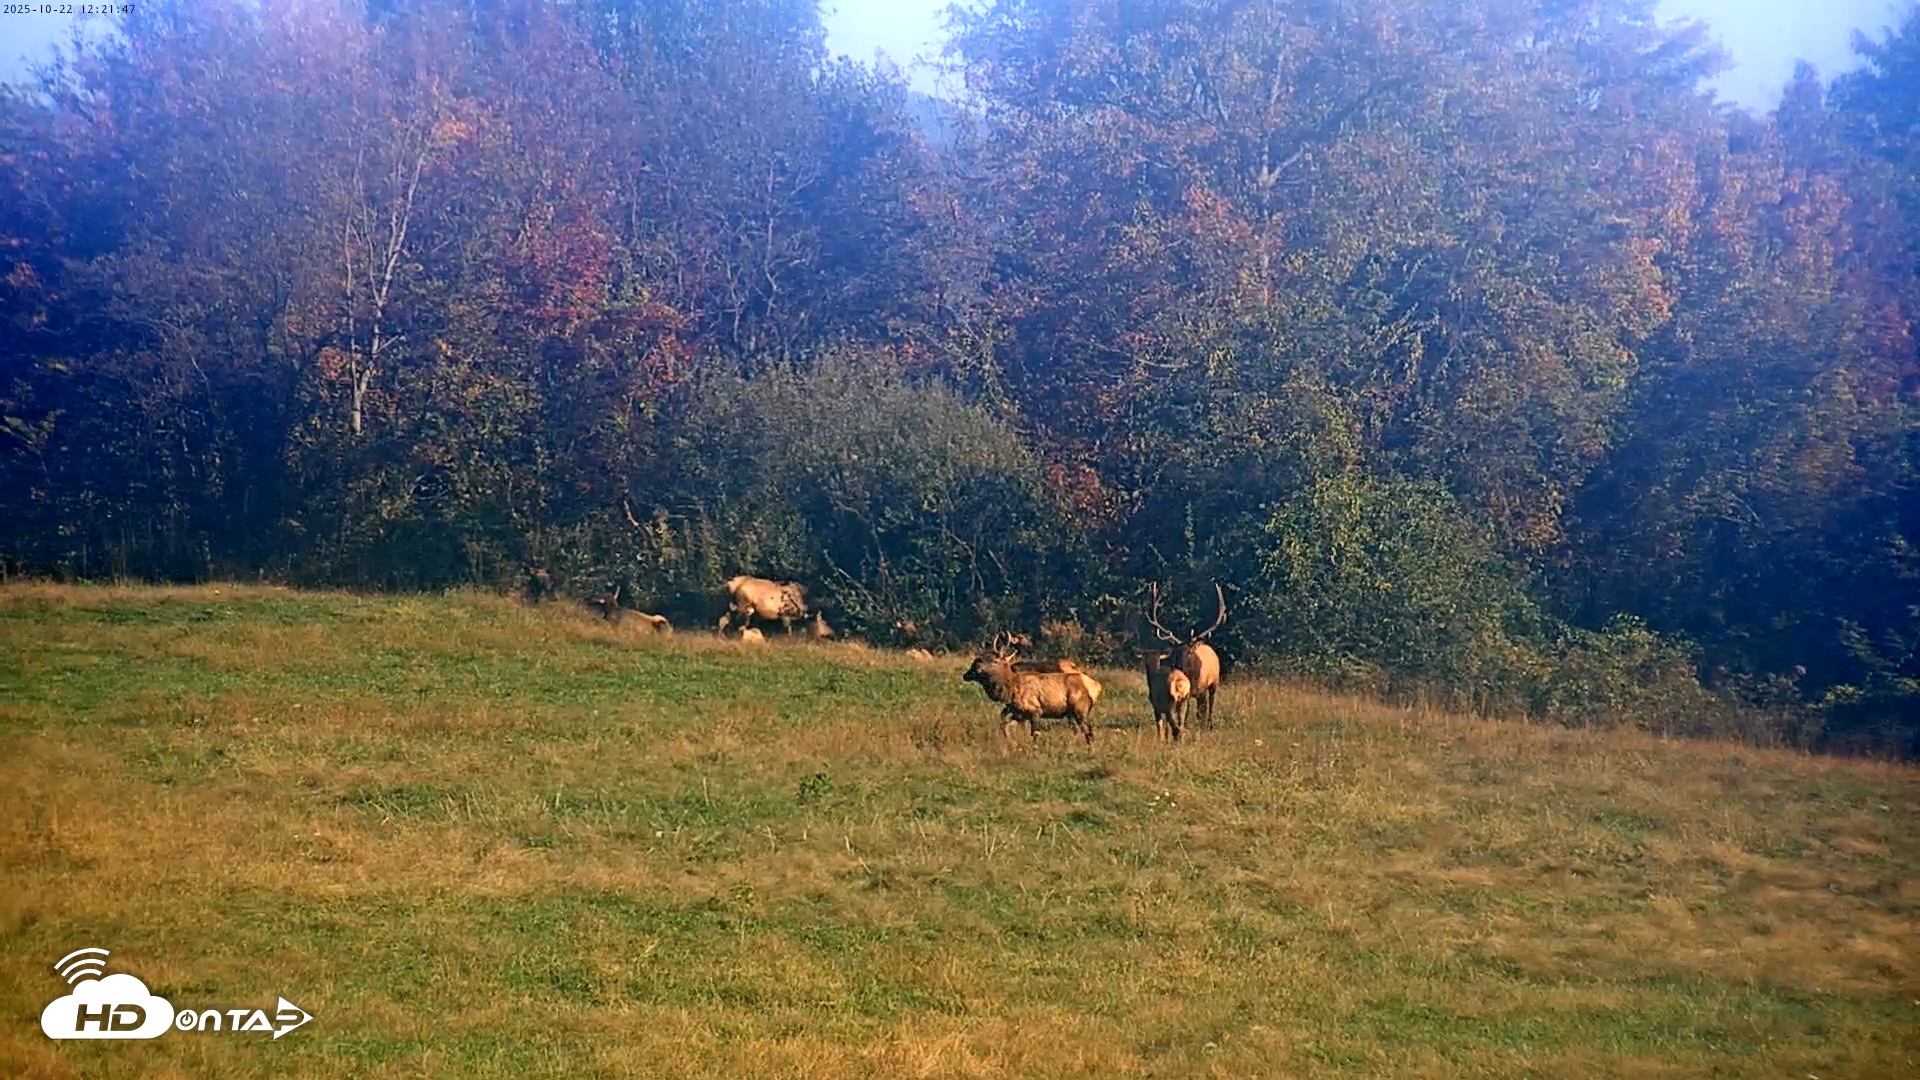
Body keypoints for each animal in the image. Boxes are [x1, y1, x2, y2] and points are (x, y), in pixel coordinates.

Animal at [1147, 581, 1226, 729]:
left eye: (1189, 652)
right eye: (1177, 652)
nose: (1181, 664)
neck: (1192, 677)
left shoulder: (1202, 688)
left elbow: (1201, 711)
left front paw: (1202, 726)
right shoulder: (1186, 693)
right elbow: (1186, 712)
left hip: (1215, 681)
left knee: (1211, 703)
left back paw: (1210, 724)